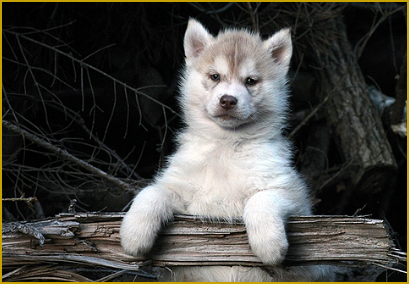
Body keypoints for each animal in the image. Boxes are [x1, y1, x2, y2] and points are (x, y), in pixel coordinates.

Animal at [119, 20, 330, 282]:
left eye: (250, 81)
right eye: (215, 76)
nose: (228, 100)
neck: (226, 145)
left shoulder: (295, 197)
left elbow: (261, 199)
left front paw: (269, 244)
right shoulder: (181, 191)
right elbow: (151, 192)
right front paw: (133, 234)